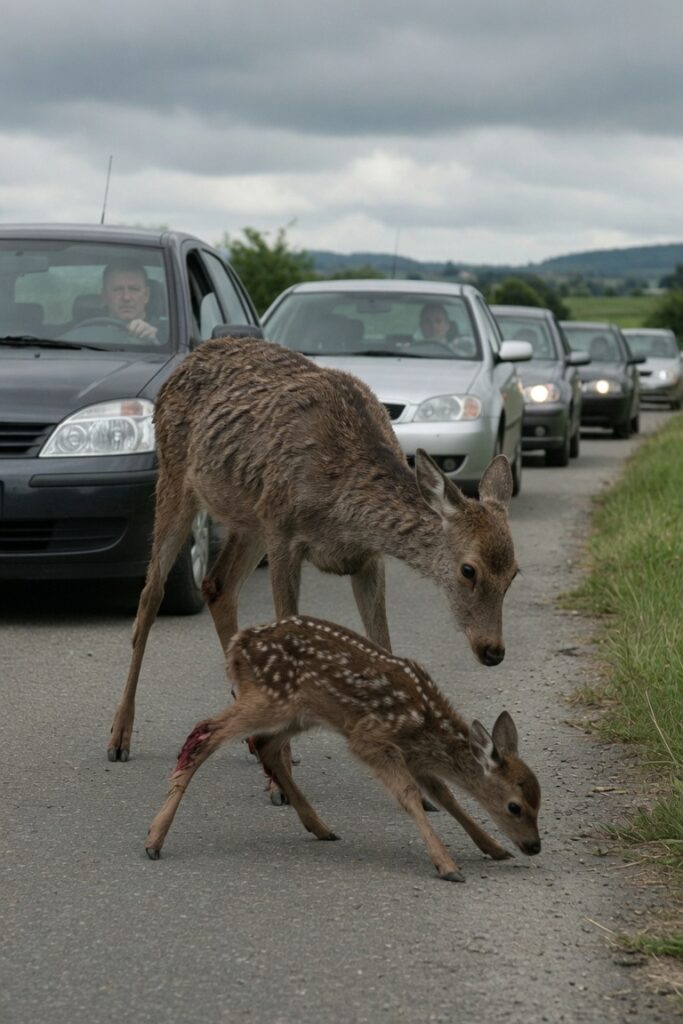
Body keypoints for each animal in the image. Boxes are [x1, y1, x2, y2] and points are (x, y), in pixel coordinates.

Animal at [108, 337, 519, 794]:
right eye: (469, 569)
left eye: (513, 574)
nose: (493, 650)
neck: (342, 500)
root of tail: (191, 356)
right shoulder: (284, 536)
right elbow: (290, 634)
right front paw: (280, 782)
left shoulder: (367, 558)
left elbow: (383, 644)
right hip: (180, 481)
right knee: (151, 593)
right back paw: (120, 736)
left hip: (250, 519)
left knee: (217, 585)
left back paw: (250, 734)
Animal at [145, 616, 542, 881]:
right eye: (515, 806)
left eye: (539, 803)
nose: (534, 845)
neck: (425, 723)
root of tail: (237, 644)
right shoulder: (370, 738)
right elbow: (410, 795)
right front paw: (447, 865)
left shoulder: (415, 756)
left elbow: (448, 797)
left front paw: (493, 848)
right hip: (270, 698)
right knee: (206, 733)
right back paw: (154, 839)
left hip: (299, 712)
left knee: (265, 746)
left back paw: (320, 827)